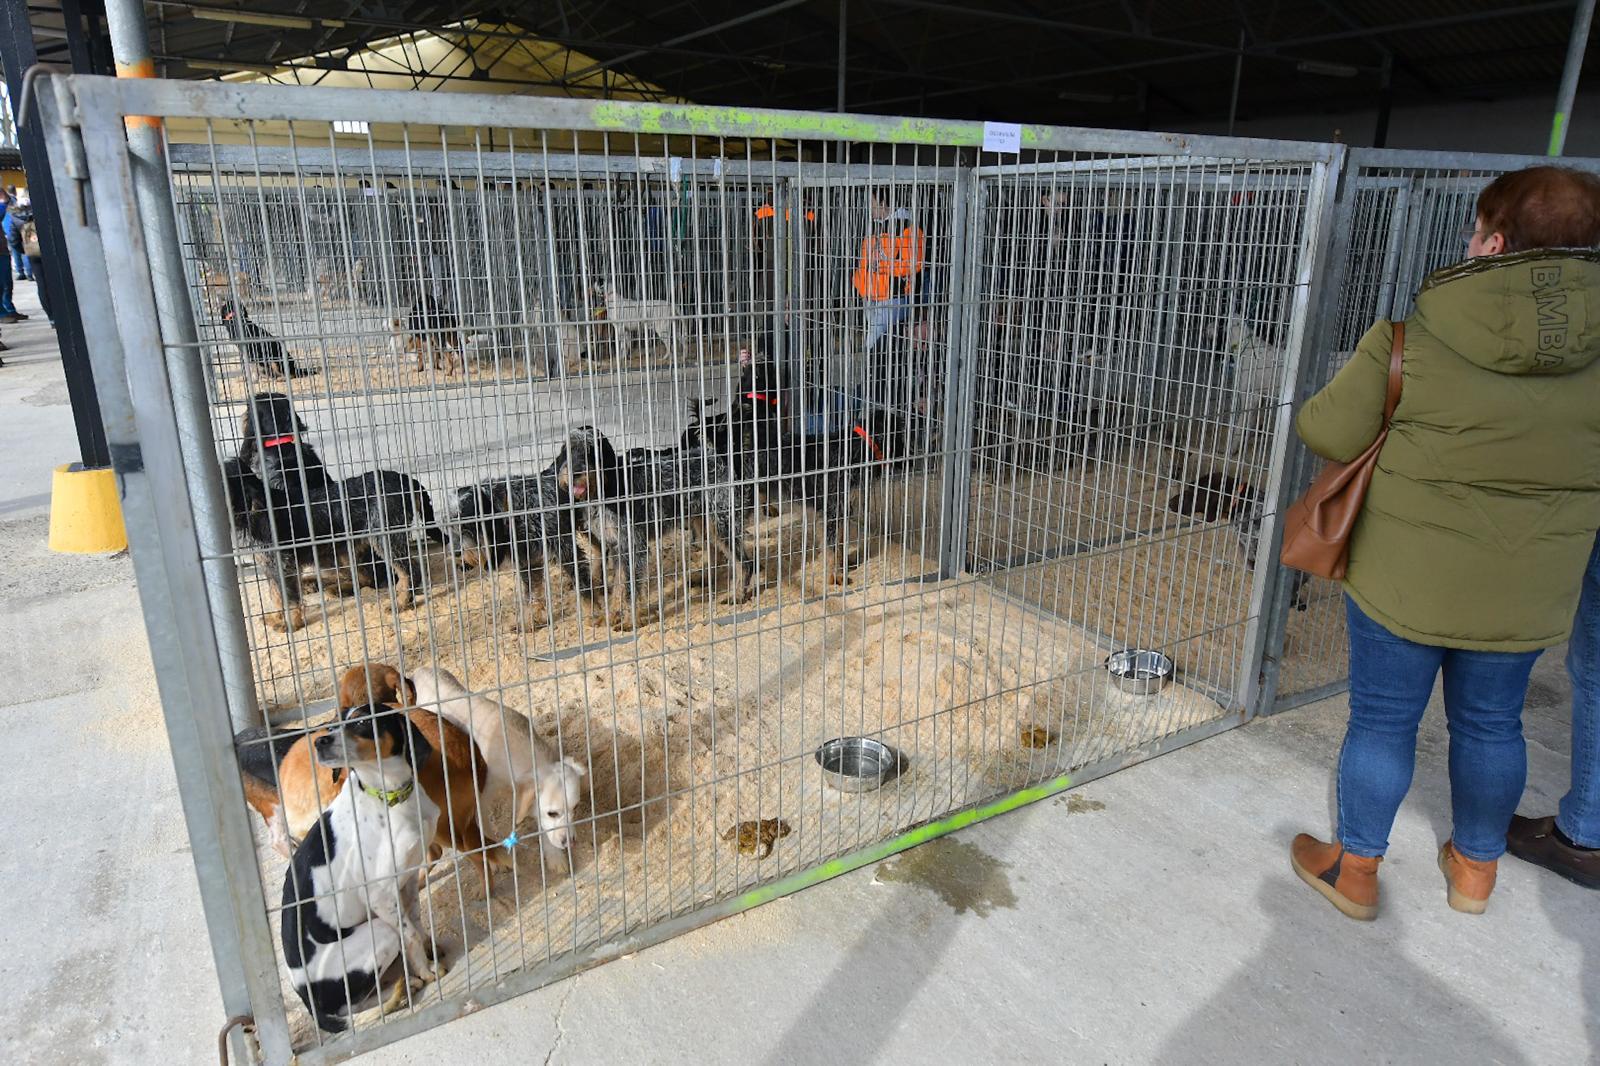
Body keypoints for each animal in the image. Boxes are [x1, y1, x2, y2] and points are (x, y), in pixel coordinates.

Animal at [227, 390, 444, 627]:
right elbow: (276, 595)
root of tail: (407, 480)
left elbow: (289, 598)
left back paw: (401, 603)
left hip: (384, 538)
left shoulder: (282, 564)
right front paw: (276, 617)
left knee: (407, 571)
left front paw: (291, 624)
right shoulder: (271, 567)